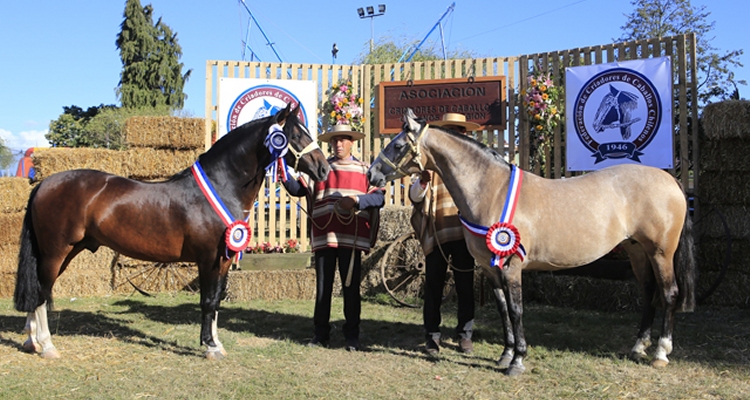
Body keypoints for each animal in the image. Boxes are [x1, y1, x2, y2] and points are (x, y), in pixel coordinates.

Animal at [13, 103, 330, 360]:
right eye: (296, 135)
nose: (324, 169)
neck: (220, 186)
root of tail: (43, 184)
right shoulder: (208, 258)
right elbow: (207, 301)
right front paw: (210, 347)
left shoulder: (224, 259)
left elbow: (217, 301)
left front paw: (217, 342)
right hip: (56, 252)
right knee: (41, 292)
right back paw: (47, 346)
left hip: (62, 253)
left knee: (37, 291)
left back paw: (32, 342)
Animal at [370, 108, 700, 376]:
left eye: (397, 145)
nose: (373, 174)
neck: (491, 190)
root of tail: (670, 180)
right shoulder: (491, 270)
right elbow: (504, 310)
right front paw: (505, 356)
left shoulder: (511, 267)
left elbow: (517, 310)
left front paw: (517, 361)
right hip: (637, 251)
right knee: (649, 292)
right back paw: (638, 347)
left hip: (660, 252)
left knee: (669, 293)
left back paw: (660, 353)